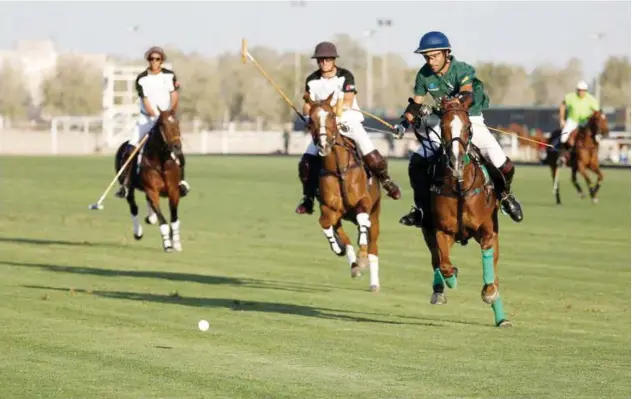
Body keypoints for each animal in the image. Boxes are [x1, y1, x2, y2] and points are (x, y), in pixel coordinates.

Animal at [115, 108, 184, 253]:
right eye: (162, 124)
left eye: (178, 123)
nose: (177, 147)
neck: (162, 163)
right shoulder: (152, 191)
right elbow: (162, 220)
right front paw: (167, 244)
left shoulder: (174, 191)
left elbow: (174, 218)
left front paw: (176, 243)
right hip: (129, 188)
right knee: (133, 206)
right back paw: (138, 232)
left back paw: (150, 218)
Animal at [304, 94, 380, 294]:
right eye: (311, 119)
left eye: (331, 115)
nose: (323, 145)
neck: (339, 169)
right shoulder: (329, 208)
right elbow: (325, 224)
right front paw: (338, 248)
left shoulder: (364, 201)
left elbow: (363, 222)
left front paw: (362, 256)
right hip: (341, 215)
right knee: (342, 234)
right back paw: (353, 263)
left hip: (375, 212)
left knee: (373, 245)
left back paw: (373, 281)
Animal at [420, 97, 512, 328]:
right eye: (442, 127)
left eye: (468, 126)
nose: (456, 162)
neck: (460, 186)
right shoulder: (441, 231)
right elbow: (444, 264)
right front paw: (451, 278)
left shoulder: (488, 232)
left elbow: (490, 271)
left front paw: (489, 293)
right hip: (428, 232)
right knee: (436, 260)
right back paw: (439, 290)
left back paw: (501, 317)